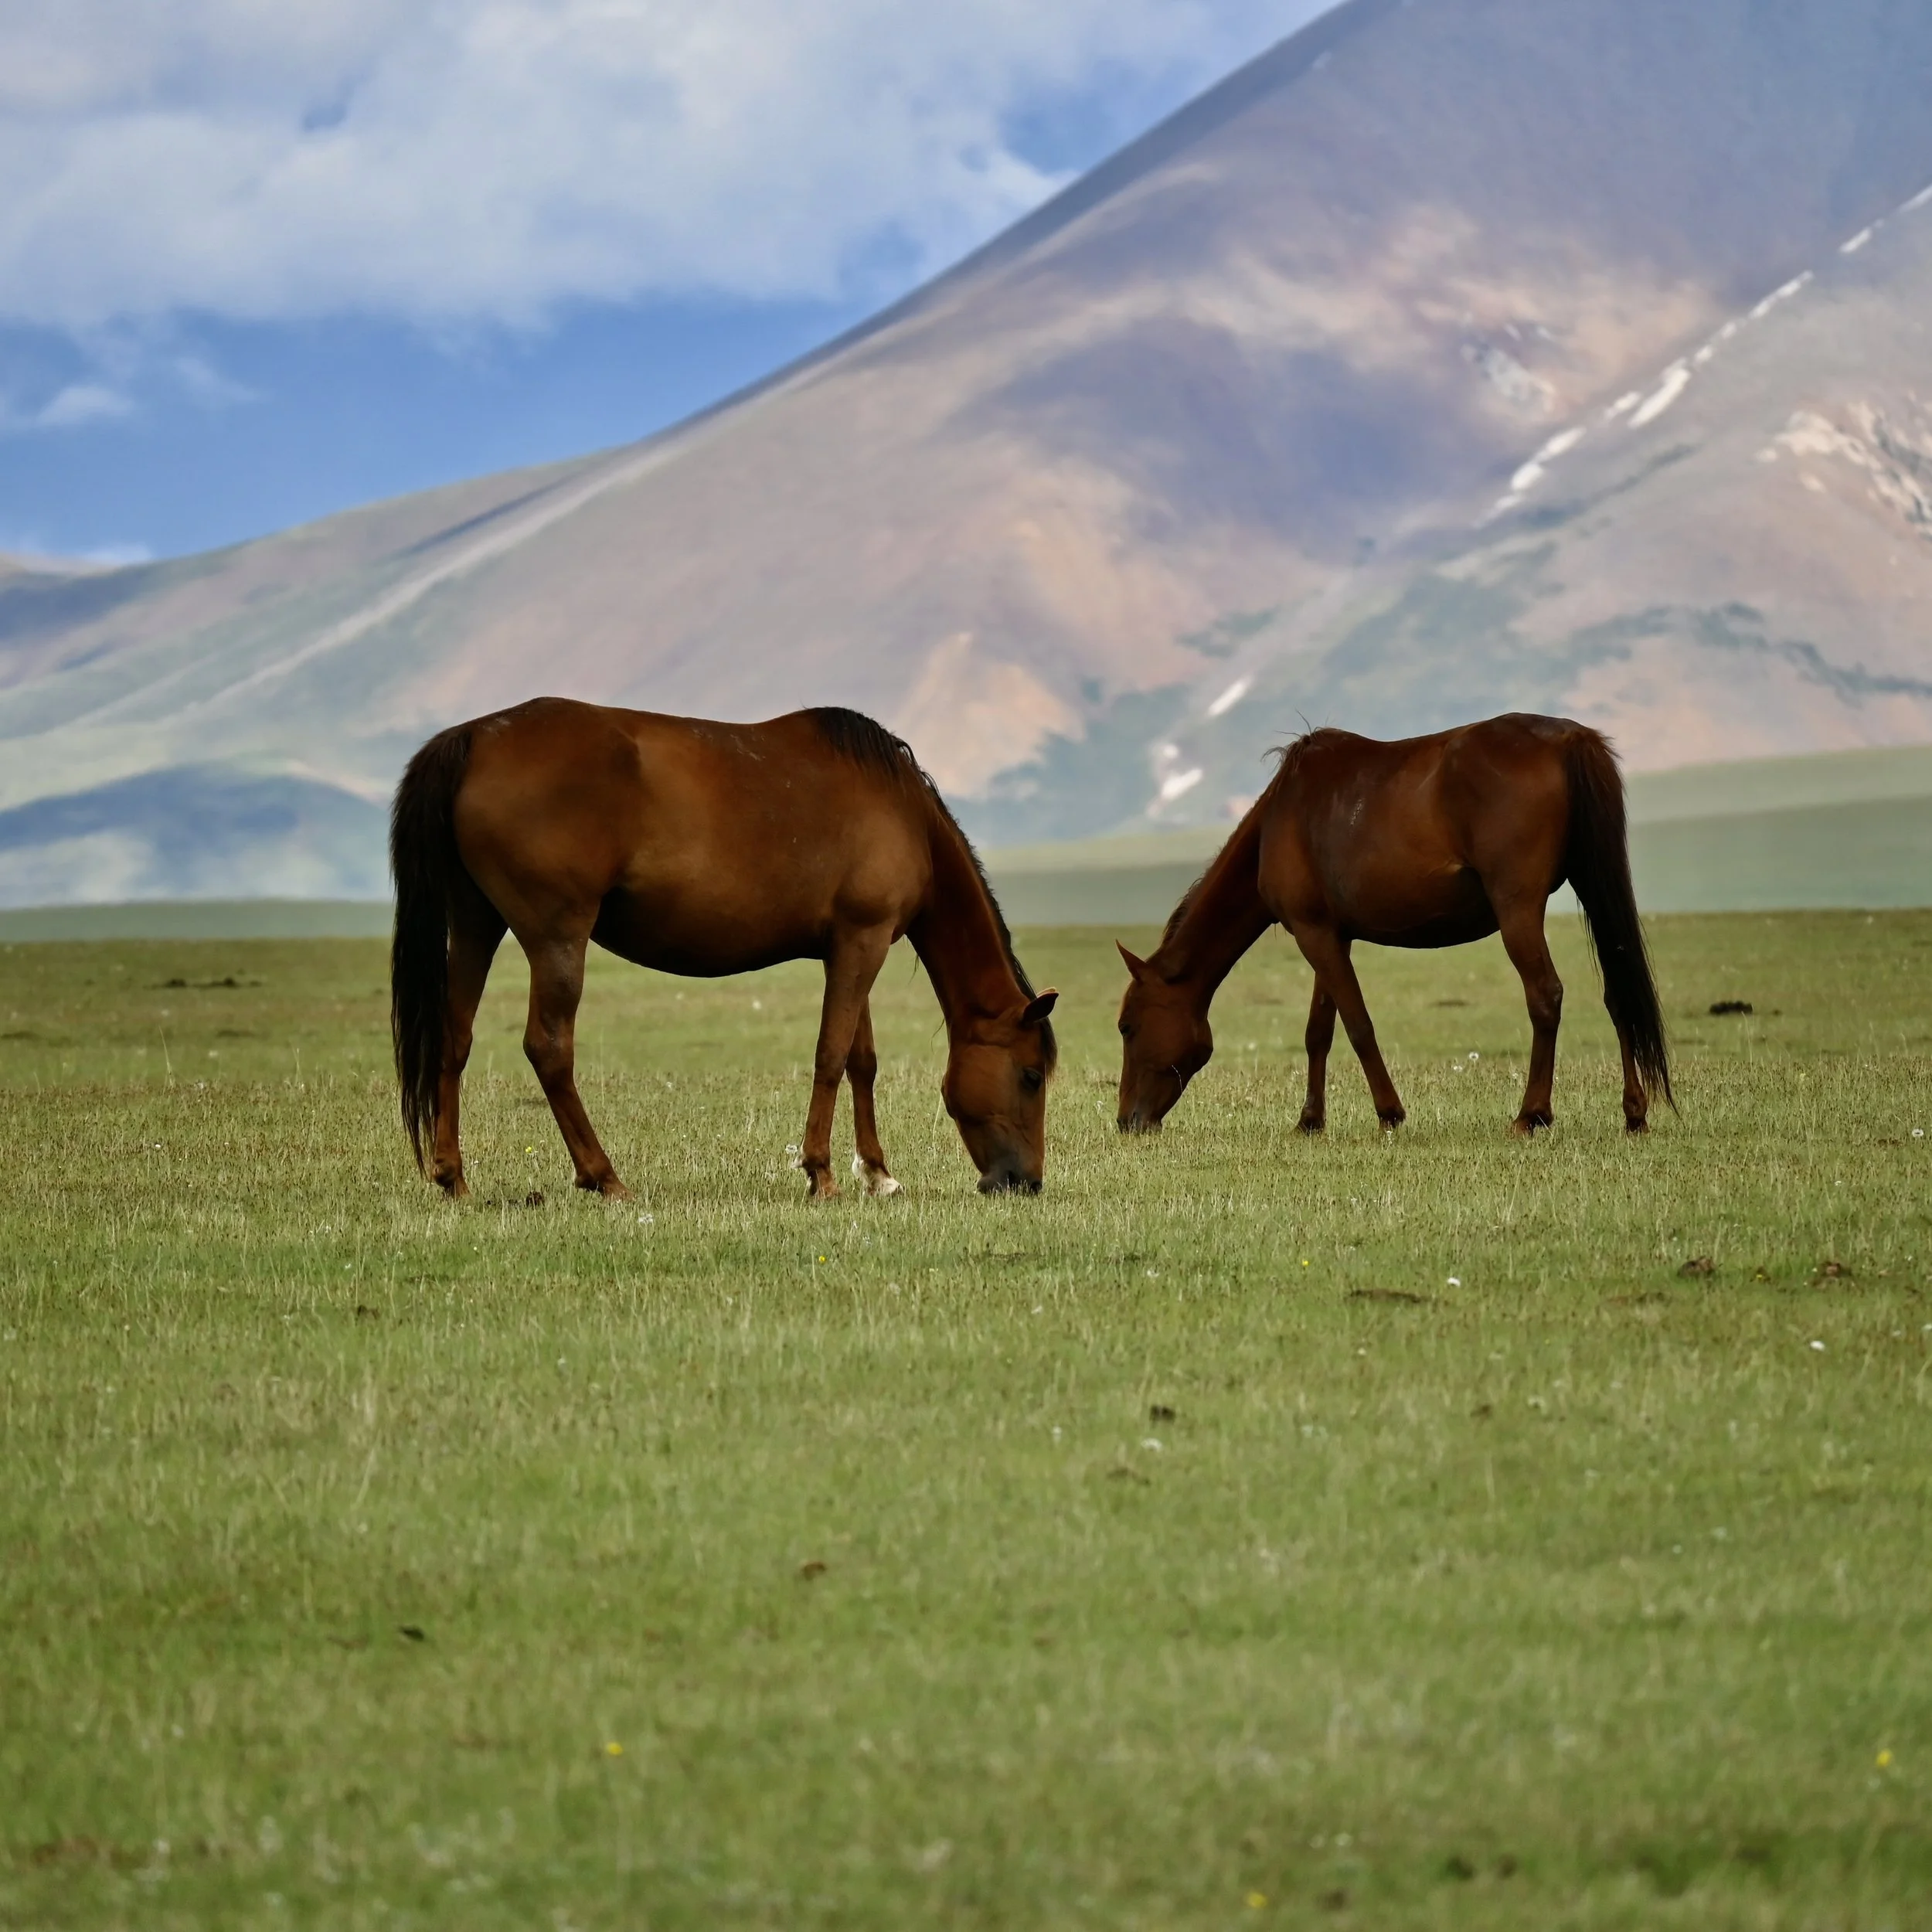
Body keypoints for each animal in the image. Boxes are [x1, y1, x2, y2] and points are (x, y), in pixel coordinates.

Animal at [389, 698, 1058, 1200]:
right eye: (1030, 1075)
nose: (1025, 1182)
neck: (902, 812)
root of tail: (473, 736)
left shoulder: (850, 946)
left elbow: (860, 1059)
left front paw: (878, 1173)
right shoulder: (862, 943)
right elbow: (831, 1056)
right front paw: (822, 1174)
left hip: (475, 926)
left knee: (454, 1040)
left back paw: (454, 1179)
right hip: (557, 939)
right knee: (549, 1049)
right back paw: (605, 1178)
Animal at [1115, 714, 1671, 1138]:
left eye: (1127, 1026)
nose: (1126, 1122)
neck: (1281, 817)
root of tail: (1569, 738)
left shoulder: (1316, 936)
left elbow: (1358, 1025)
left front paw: (1389, 1113)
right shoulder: (1329, 935)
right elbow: (1319, 1032)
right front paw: (1310, 1120)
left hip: (1518, 910)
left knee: (1544, 996)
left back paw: (1530, 1114)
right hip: (1592, 889)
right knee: (1619, 995)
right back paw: (1634, 1113)